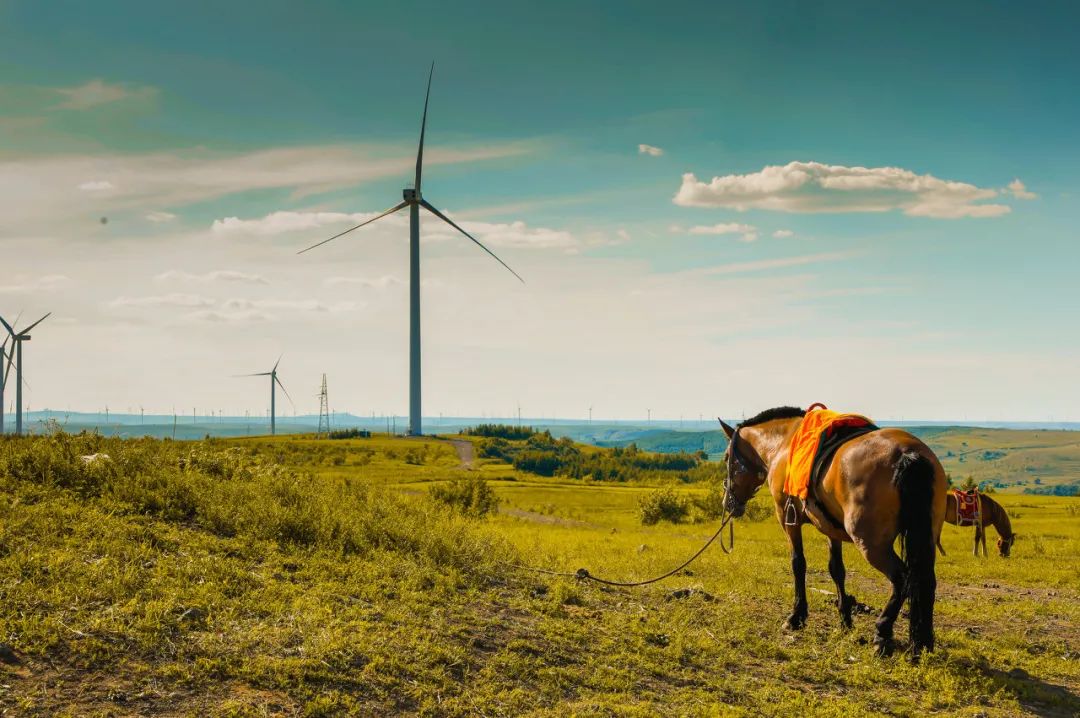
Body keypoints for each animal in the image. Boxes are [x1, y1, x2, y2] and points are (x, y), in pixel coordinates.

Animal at [725, 403, 946, 656]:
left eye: (727, 459)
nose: (728, 503)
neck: (783, 444)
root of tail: (907, 454)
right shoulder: (830, 527)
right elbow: (836, 569)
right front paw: (845, 619)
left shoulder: (788, 519)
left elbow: (798, 564)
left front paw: (796, 616)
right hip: (925, 538)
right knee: (925, 581)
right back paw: (924, 641)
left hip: (872, 545)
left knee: (902, 579)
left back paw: (882, 632)